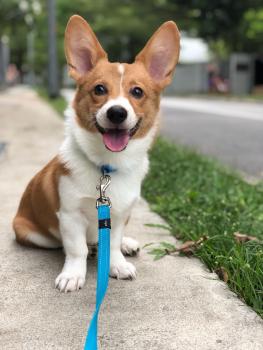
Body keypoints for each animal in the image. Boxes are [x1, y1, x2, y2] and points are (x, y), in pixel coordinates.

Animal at [13, 15, 180, 292]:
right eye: (99, 89)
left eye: (137, 92)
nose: (117, 113)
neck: (107, 166)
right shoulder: (70, 215)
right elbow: (76, 248)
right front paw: (73, 274)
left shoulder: (119, 215)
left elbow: (112, 244)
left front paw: (117, 264)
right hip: (30, 232)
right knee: (65, 243)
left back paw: (124, 244)